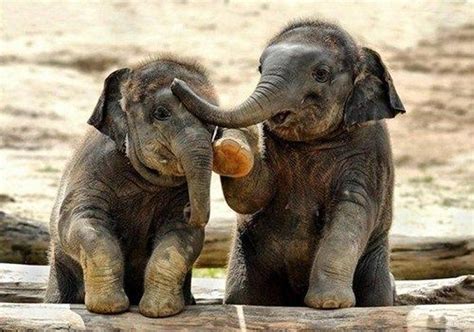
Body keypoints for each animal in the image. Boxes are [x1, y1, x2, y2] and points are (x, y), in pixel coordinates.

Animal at [43, 55, 218, 318]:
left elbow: (181, 236)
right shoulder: (92, 173)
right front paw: (109, 307)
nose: (189, 210)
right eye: (161, 113)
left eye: (214, 123)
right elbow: (80, 222)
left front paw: (159, 310)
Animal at [172, 18, 406, 308]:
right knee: (241, 295)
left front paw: (329, 303)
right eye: (260, 68)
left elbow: (352, 210)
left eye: (321, 74)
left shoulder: (369, 154)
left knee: (378, 296)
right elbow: (253, 196)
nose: (175, 82)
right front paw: (233, 147)